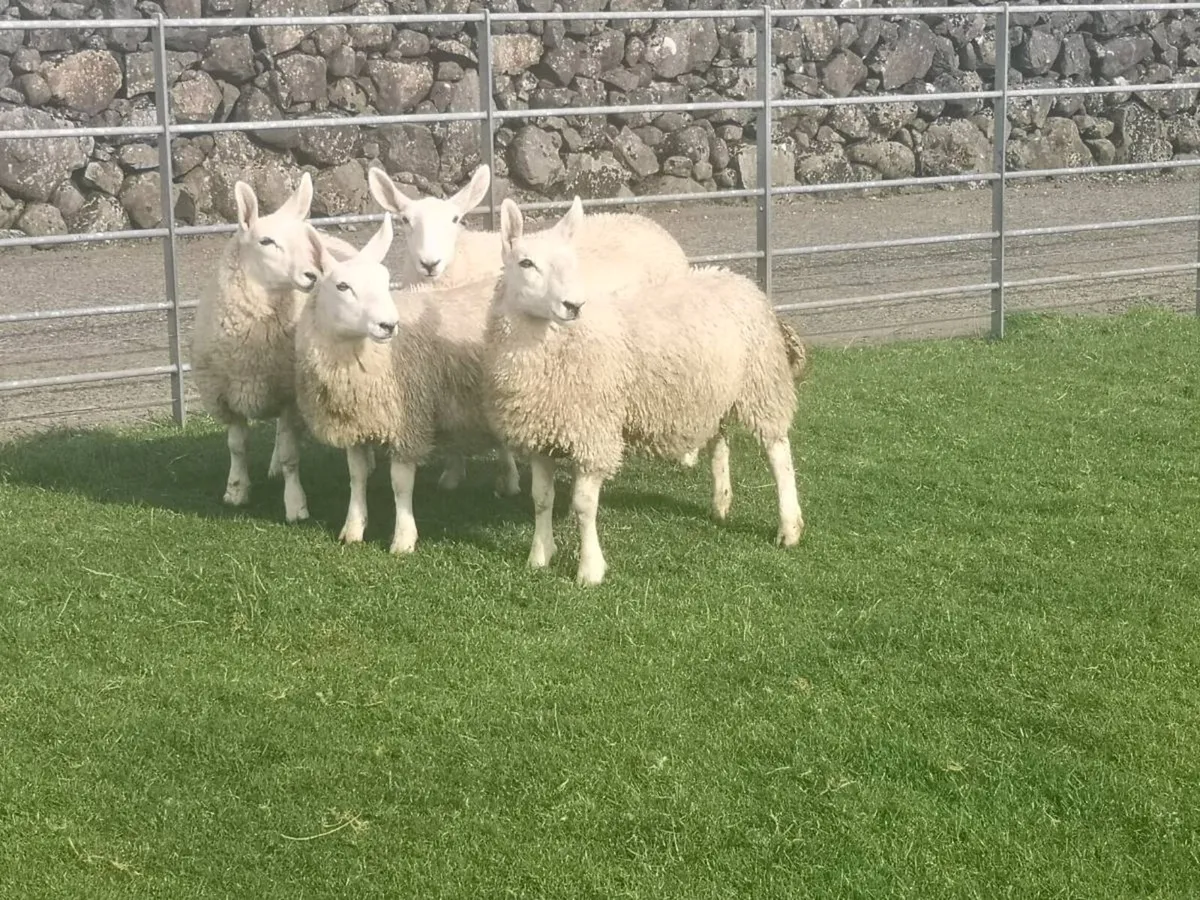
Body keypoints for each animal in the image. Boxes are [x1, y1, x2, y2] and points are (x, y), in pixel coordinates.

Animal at [189, 173, 359, 522]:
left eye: (305, 243)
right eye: (266, 242)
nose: (313, 274)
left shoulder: (290, 396)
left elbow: (292, 455)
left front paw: (295, 504)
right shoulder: (226, 396)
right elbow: (237, 447)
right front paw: (236, 490)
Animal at [293, 213, 519, 554]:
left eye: (385, 281)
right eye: (342, 286)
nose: (388, 325)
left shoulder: (406, 422)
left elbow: (400, 484)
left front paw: (403, 539)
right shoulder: (356, 422)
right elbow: (357, 476)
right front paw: (353, 528)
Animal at [483, 197, 807, 586]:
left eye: (573, 262)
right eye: (526, 263)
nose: (573, 306)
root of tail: (736, 277)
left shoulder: (594, 433)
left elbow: (582, 506)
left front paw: (590, 570)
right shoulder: (540, 434)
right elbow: (541, 498)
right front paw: (539, 556)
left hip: (761, 384)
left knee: (778, 453)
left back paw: (789, 527)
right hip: (711, 391)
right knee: (719, 440)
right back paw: (721, 503)